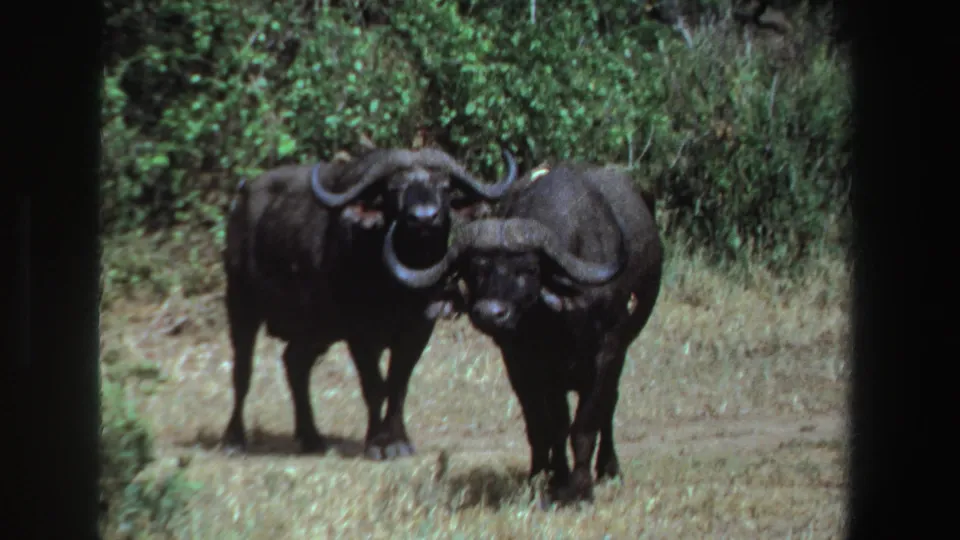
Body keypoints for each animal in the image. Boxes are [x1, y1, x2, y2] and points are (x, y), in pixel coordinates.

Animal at [221, 146, 518, 460]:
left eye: (444, 186)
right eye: (394, 188)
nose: (424, 218)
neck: (397, 287)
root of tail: (242, 199)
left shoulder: (418, 330)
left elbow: (398, 385)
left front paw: (398, 441)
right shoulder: (360, 335)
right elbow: (374, 386)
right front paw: (376, 443)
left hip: (315, 330)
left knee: (295, 363)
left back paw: (311, 437)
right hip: (240, 304)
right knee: (242, 371)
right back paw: (234, 439)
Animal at [383, 162, 663, 502]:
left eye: (528, 269)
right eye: (475, 270)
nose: (490, 313)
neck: (558, 321)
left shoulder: (608, 353)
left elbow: (586, 424)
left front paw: (581, 489)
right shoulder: (526, 364)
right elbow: (550, 425)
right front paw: (554, 480)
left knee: (608, 406)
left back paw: (608, 469)